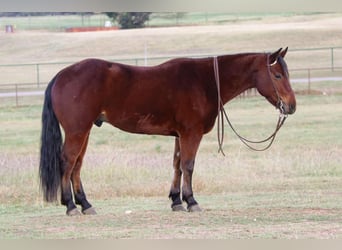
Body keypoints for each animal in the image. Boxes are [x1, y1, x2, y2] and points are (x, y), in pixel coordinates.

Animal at [40, 47, 296, 216]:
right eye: (277, 75)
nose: (291, 106)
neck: (205, 82)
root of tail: (61, 76)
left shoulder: (179, 136)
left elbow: (177, 165)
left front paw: (176, 201)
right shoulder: (191, 134)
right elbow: (189, 165)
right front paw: (191, 201)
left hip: (84, 132)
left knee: (77, 165)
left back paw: (85, 204)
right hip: (77, 131)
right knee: (67, 163)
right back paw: (70, 206)